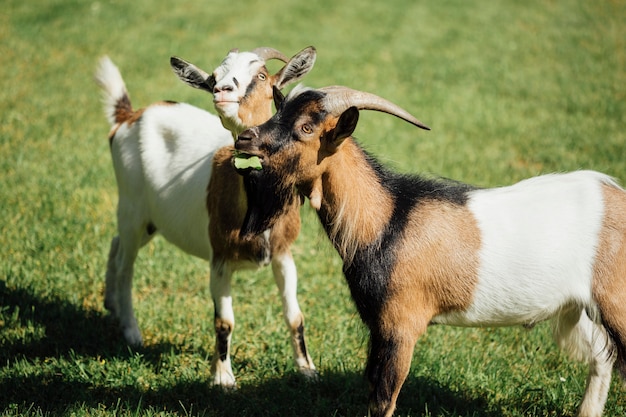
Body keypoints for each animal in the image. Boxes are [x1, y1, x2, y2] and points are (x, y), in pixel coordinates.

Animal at [92, 47, 316, 386]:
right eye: (214, 76)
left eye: (262, 75)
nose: (221, 91)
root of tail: (129, 117)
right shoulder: (219, 258)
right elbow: (225, 321)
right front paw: (223, 378)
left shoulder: (283, 253)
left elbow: (295, 315)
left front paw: (307, 369)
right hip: (131, 206)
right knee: (125, 265)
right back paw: (131, 331)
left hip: (150, 221)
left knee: (117, 244)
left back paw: (112, 306)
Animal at [232, 85, 624, 416]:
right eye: (278, 111)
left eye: (307, 127)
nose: (245, 138)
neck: (386, 217)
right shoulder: (378, 327)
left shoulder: (401, 324)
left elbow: (384, 400)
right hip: (576, 307)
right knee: (600, 359)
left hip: (614, 301)